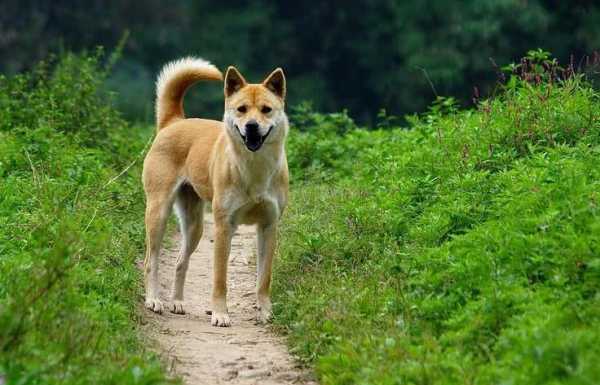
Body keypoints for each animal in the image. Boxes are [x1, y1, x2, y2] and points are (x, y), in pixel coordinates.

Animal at [142, 57, 290, 328]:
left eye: (266, 109)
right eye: (242, 109)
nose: (252, 126)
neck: (254, 168)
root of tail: (175, 121)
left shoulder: (269, 226)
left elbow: (264, 278)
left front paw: (265, 312)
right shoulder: (224, 226)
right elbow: (220, 279)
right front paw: (220, 314)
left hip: (194, 226)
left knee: (180, 262)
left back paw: (177, 302)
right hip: (158, 213)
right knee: (151, 261)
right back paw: (154, 300)